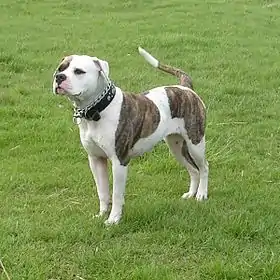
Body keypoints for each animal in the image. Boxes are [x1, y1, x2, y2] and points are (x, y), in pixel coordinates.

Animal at [52, 47, 209, 224]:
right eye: (60, 69)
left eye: (79, 71)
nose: (59, 77)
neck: (98, 110)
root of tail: (186, 88)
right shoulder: (96, 159)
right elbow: (102, 191)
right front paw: (102, 214)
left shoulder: (119, 161)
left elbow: (116, 194)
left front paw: (113, 219)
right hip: (176, 146)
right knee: (193, 170)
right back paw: (191, 194)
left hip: (195, 142)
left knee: (203, 167)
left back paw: (201, 195)